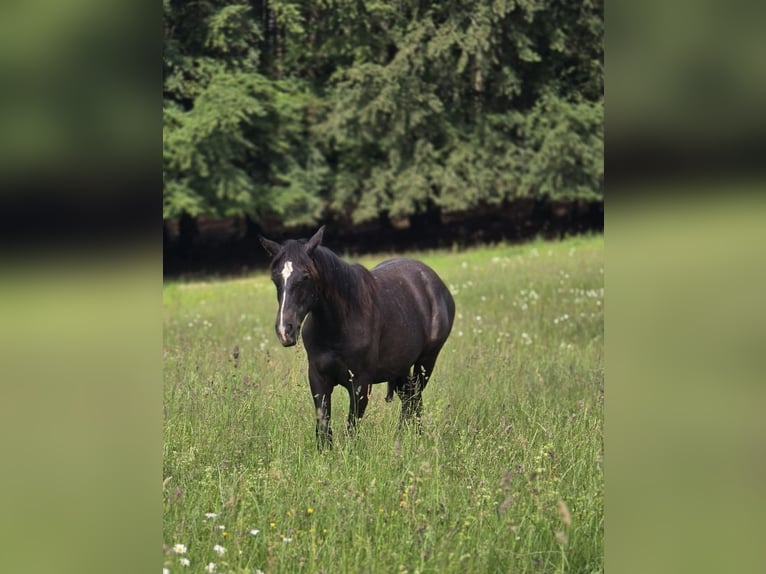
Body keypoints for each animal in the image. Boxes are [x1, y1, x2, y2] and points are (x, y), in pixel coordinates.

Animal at [259, 226, 455, 448]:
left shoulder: (361, 383)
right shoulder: (318, 379)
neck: (339, 325)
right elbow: (323, 425)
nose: (285, 330)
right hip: (401, 367)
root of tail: (434, 282)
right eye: (275, 279)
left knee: (414, 398)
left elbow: (352, 426)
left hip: (426, 361)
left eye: (305, 276)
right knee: (410, 399)